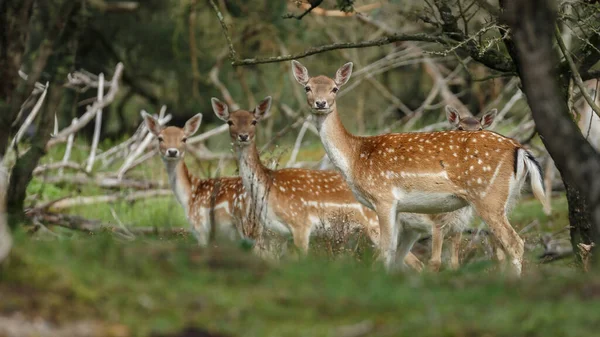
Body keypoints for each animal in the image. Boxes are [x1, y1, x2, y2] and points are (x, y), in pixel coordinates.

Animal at [212, 95, 426, 268]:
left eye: (254, 121)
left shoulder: (301, 224)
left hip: (376, 223)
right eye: (230, 122)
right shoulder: (279, 233)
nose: (243, 136)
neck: (269, 187)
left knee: (415, 262)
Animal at [292, 59, 552, 276]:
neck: (355, 157)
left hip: (488, 195)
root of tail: (521, 150)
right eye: (308, 87)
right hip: (507, 199)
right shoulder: (400, 211)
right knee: (502, 246)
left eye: (335, 88)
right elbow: (396, 256)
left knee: (514, 243)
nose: (321, 103)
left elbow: (385, 252)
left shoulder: (384, 198)